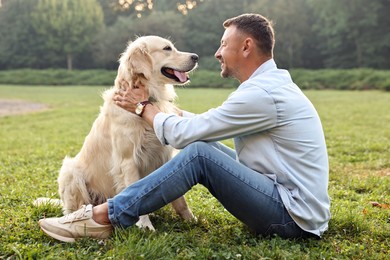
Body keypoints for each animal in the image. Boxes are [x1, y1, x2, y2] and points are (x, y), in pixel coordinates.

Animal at [53, 35, 198, 231]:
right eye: (167, 48)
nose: (196, 57)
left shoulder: (164, 156)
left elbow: (179, 197)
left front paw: (190, 219)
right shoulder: (128, 160)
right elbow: (136, 193)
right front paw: (145, 226)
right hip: (70, 171)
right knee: (76, 207)